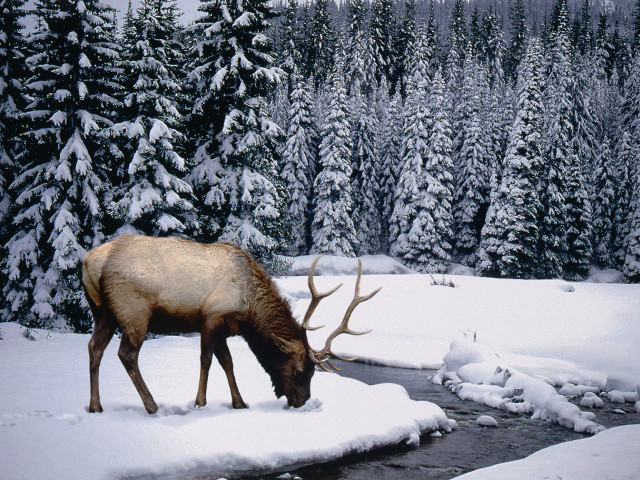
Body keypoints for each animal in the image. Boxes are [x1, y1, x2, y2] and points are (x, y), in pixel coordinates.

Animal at [82, 235, 379, 414]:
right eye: (298, 371)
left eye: (313, 373)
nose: (302, 401)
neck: (249, 309)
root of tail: (89, 262)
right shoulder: (211, 316)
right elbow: (206, 360)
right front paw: (200, 402)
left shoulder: (225, 329)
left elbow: (227, 362)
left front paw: (240, 402)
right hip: (134, 311)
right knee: (126, 354)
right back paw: (152, 404)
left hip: (103, 312)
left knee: (94, 348)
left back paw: (95, 405)